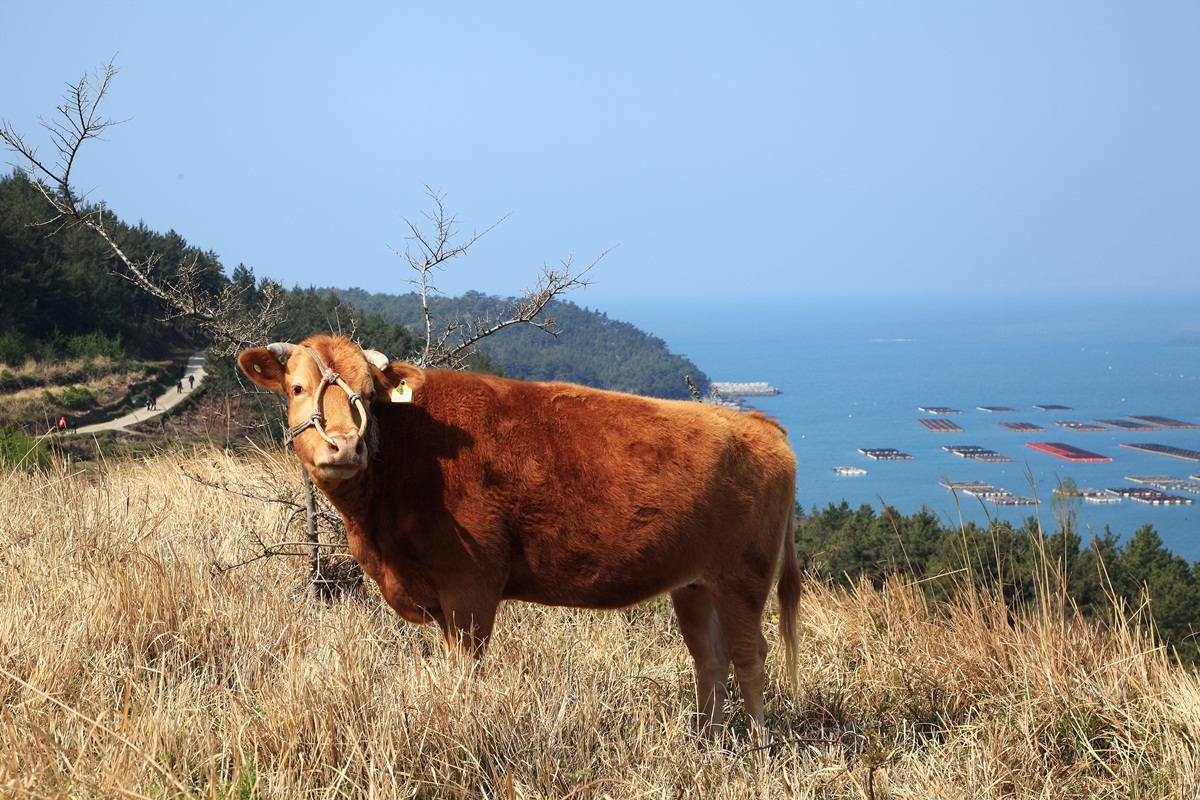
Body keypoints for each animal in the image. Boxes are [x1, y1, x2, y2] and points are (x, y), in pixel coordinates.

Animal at [238, 333, 800, 741]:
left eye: (370, 396)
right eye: (297, 388)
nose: (345, 444)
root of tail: (759, 422)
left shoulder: (470, 588)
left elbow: (466, 671)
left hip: (743, 577)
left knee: (750, 656)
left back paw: (755, 748)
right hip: (695, 584)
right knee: (710, 659)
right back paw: (707, 743)